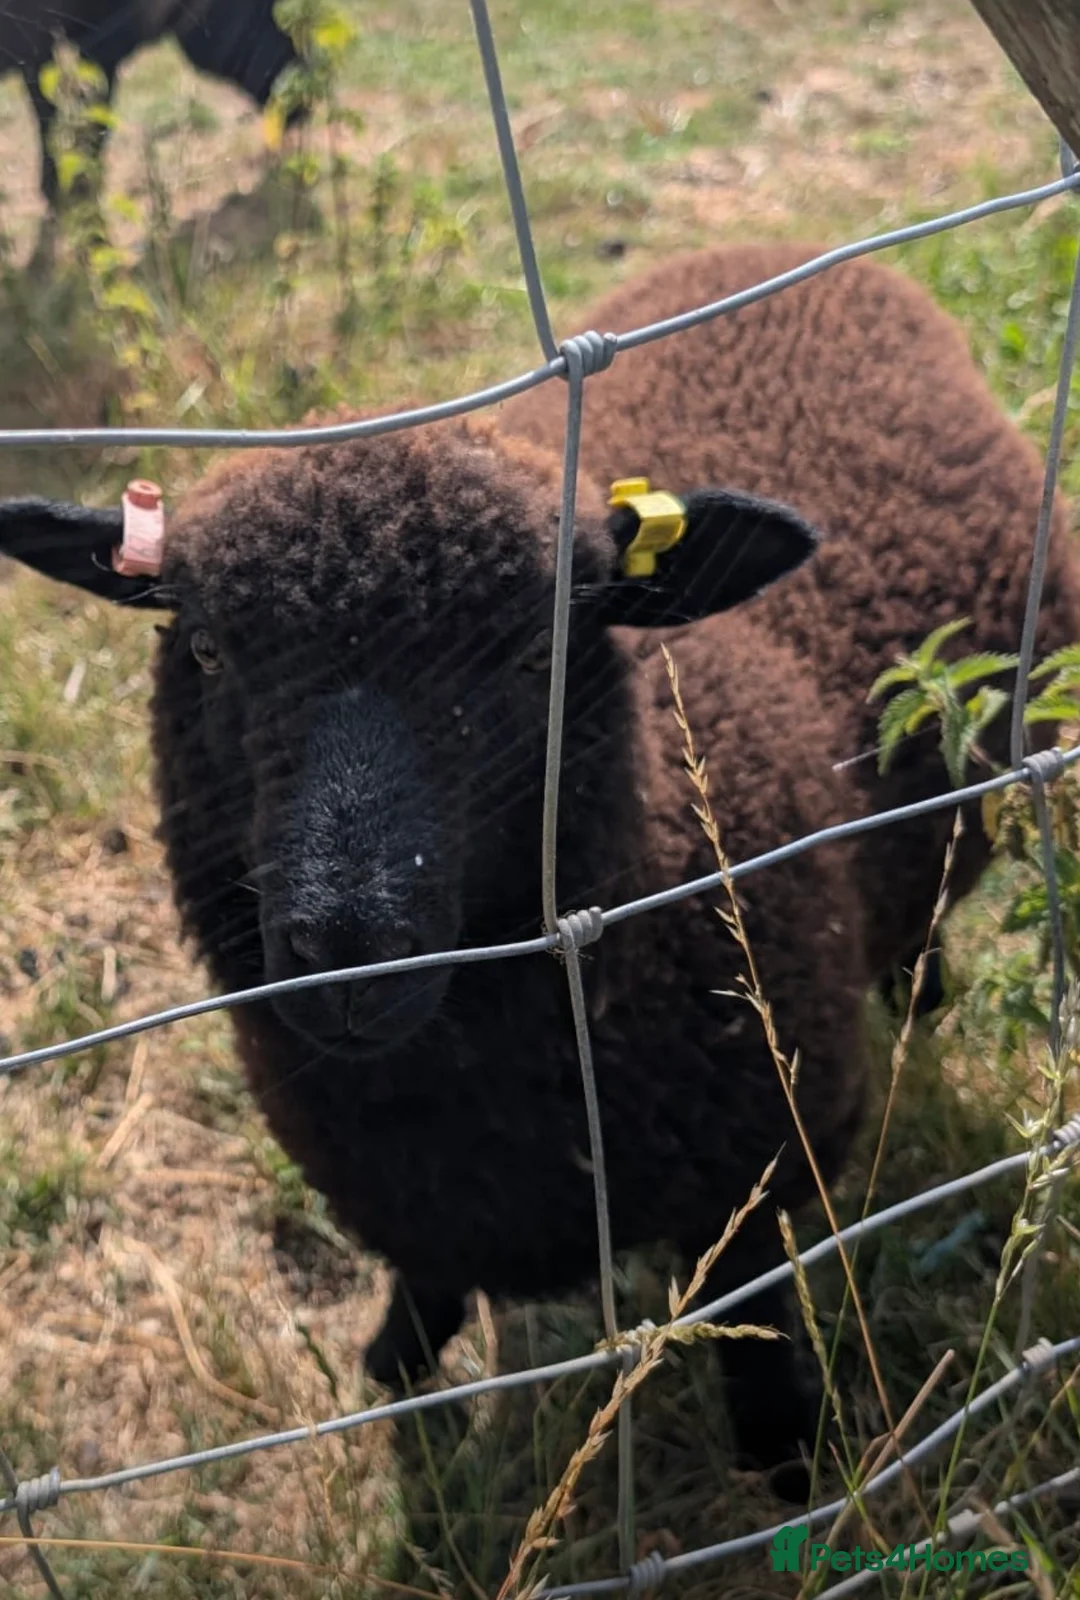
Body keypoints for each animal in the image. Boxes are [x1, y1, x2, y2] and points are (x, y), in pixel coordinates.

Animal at [2, 241, 1077, 1496]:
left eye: (534, 655)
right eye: (211, 649)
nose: (349, 954)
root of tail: (768, 254)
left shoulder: (762, 1156)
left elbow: (749, 1318)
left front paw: (791, 1461)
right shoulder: (397, 1185)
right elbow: (423, 1282)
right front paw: (395, 1371)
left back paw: (922, 996)